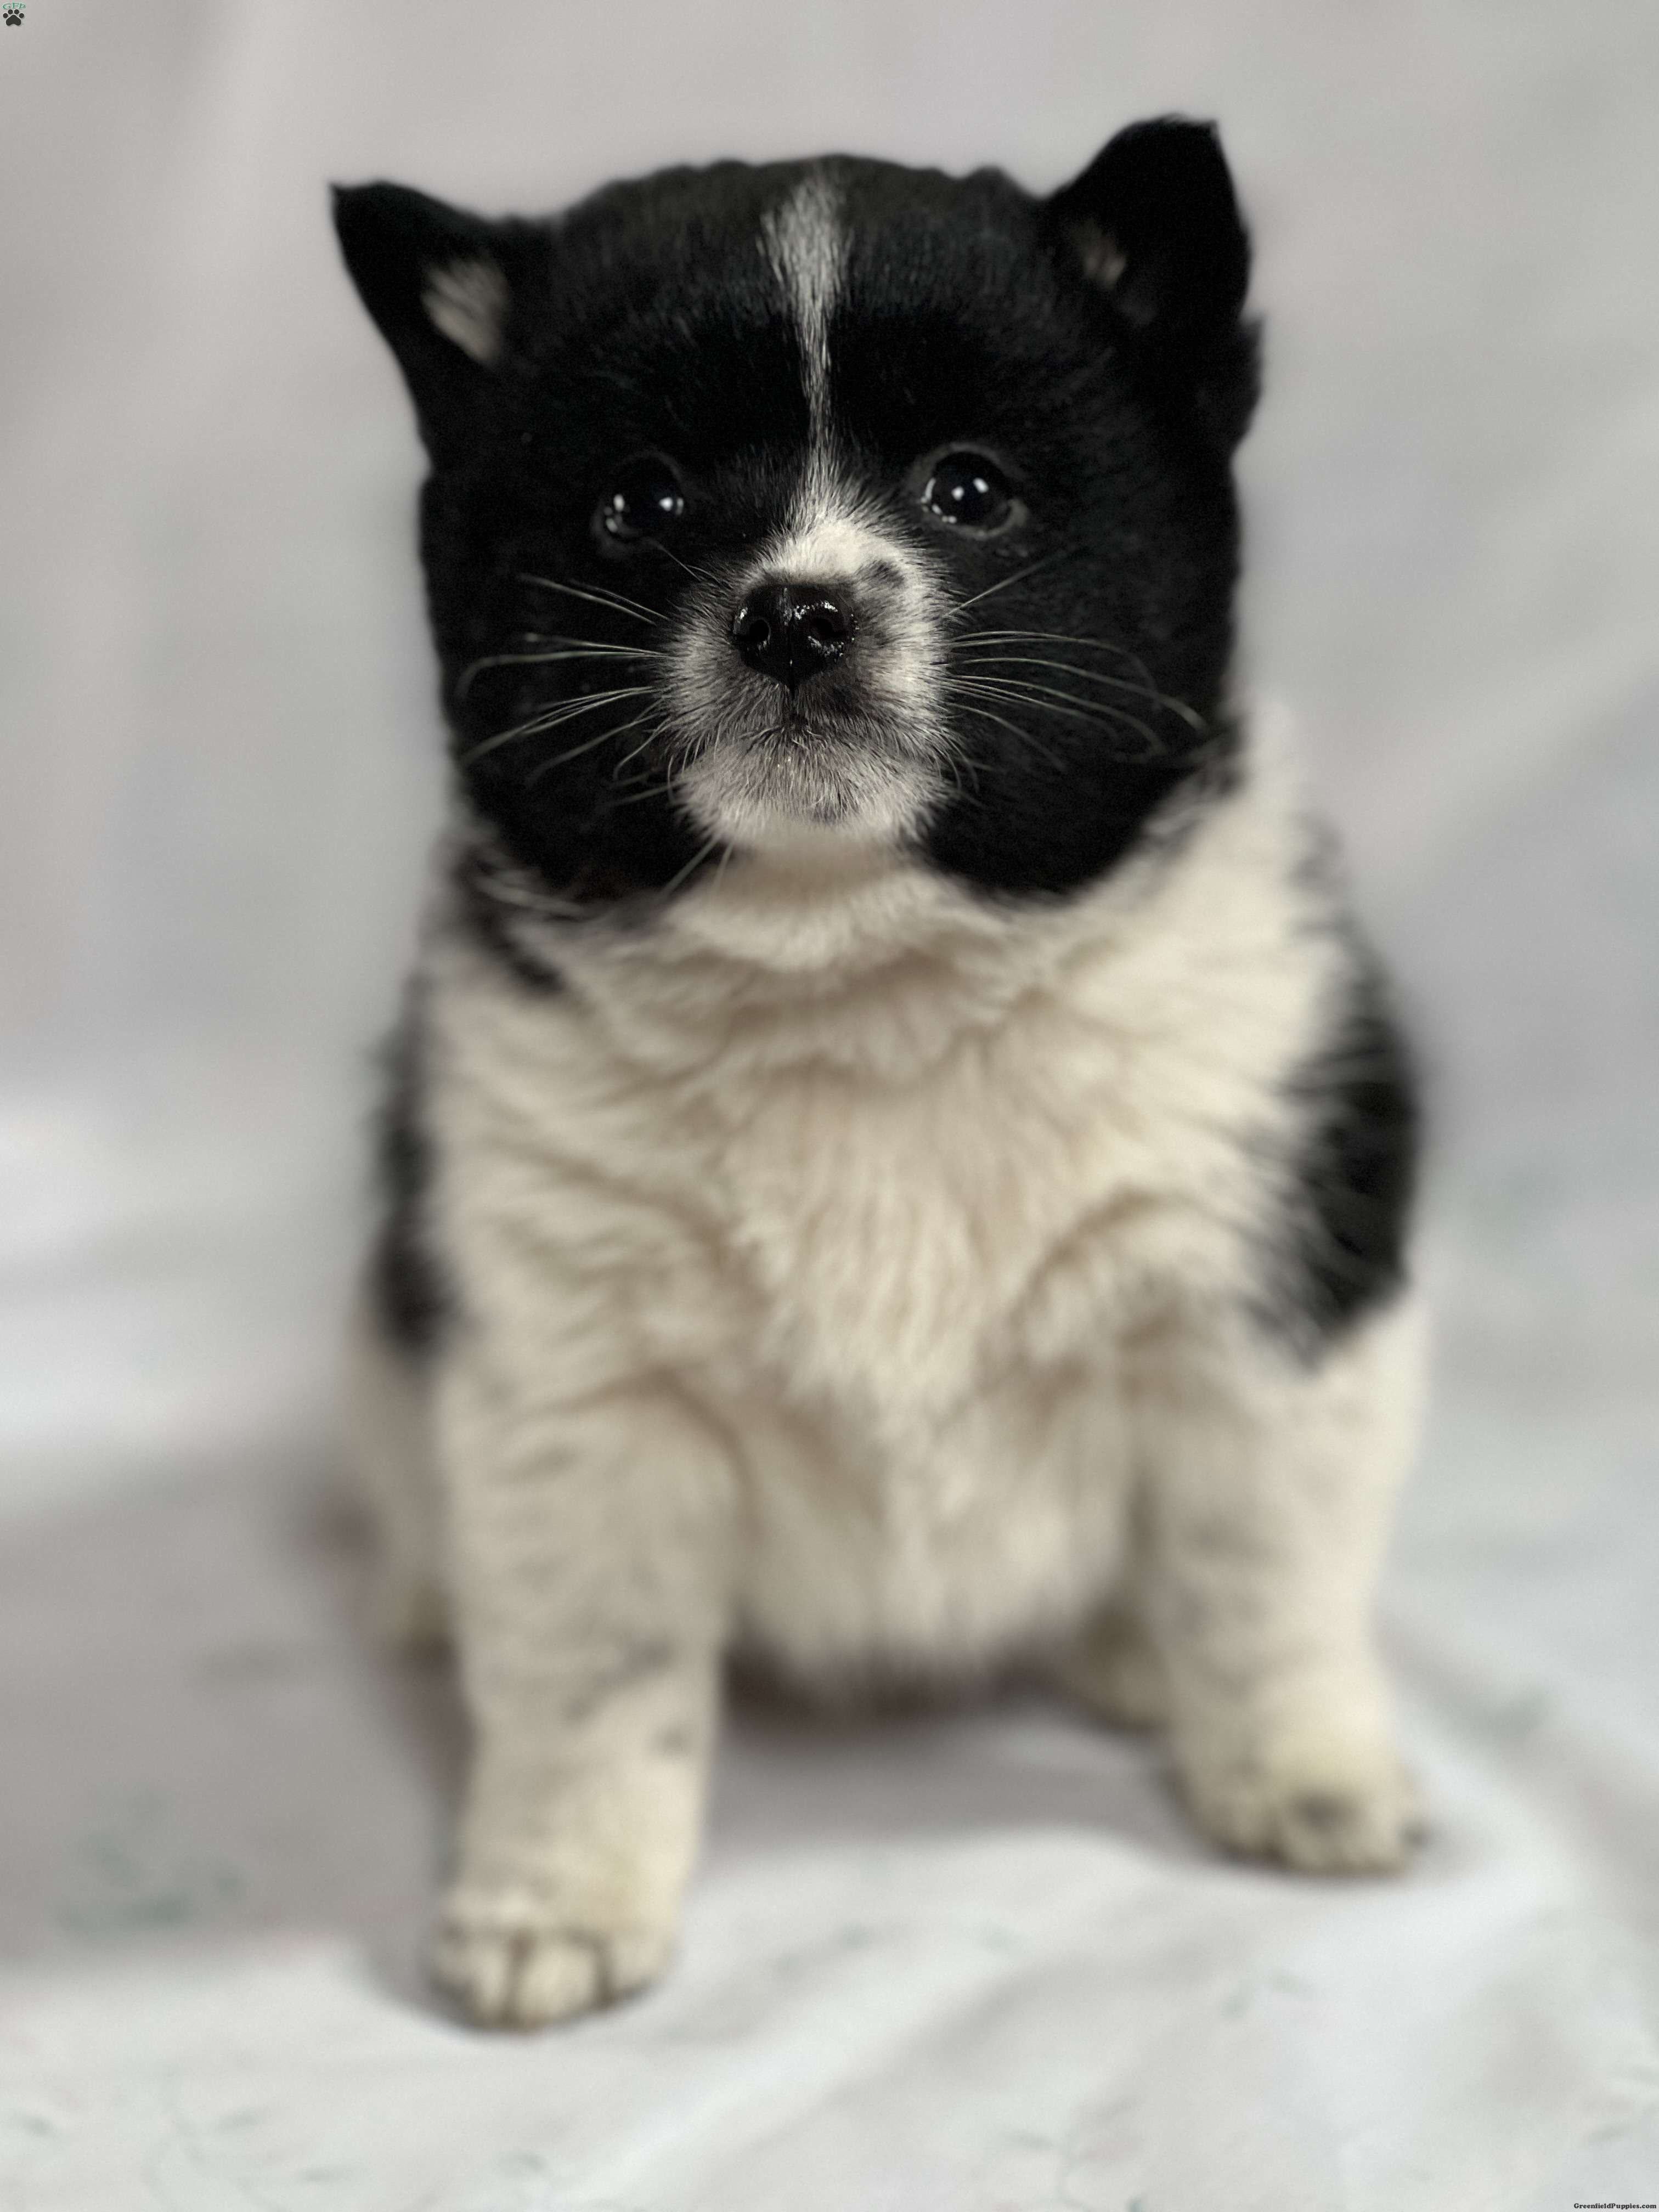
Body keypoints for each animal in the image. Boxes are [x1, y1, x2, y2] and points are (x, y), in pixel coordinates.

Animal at [333, 117, 1423, 2029]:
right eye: (640, 506)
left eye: (970, 491)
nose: (796, 614)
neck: (867, 987)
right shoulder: (579, 1396)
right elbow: (592, 1680)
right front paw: (552, 1899)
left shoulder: (1269, 1310)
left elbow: (1266, 1582)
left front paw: (1304, 1772)